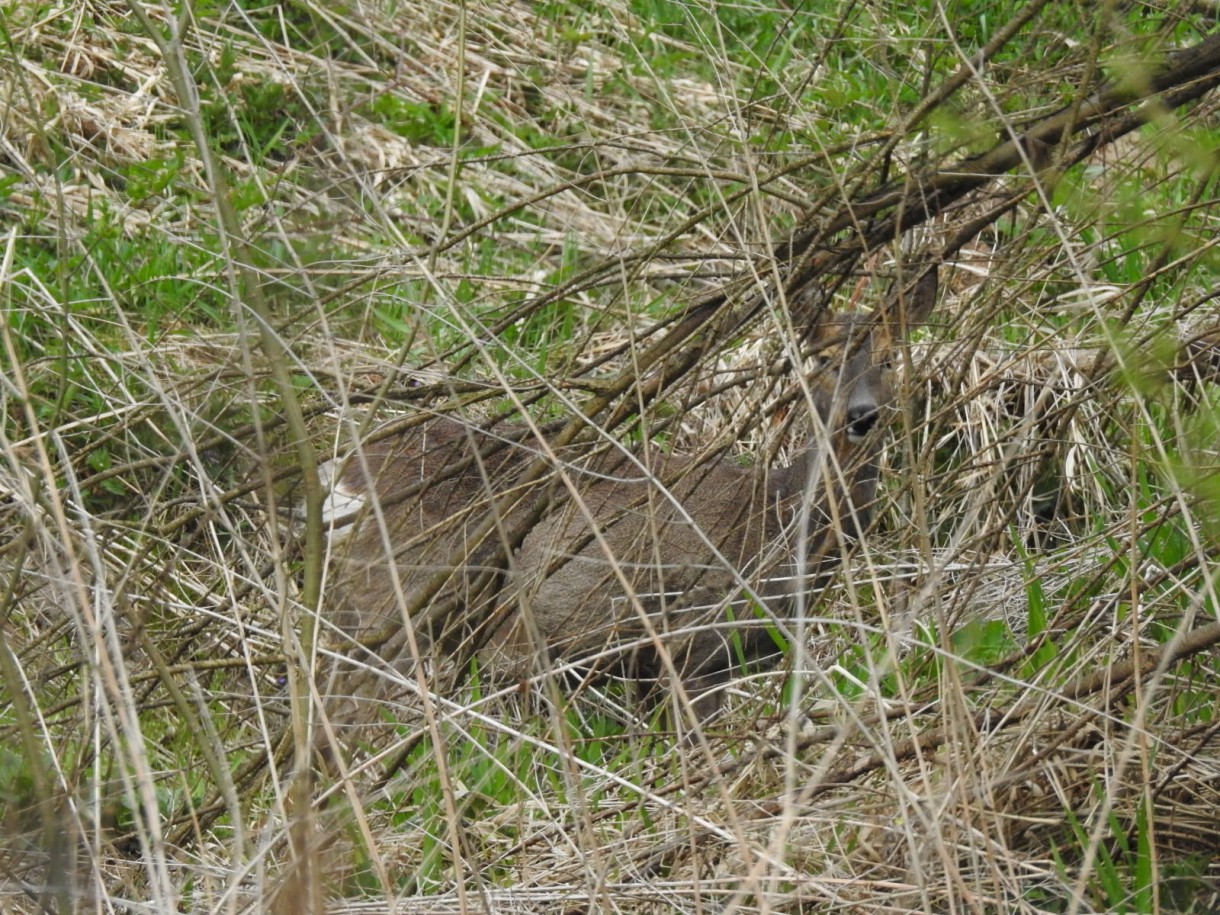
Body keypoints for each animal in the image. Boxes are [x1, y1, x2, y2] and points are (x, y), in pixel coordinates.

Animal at [322, 270, 932, 732]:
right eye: (823, 359)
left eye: (890, 357)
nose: (861, 416)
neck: (780, 522)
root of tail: (347, 471)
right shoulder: (693, 639)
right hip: (398, 600)